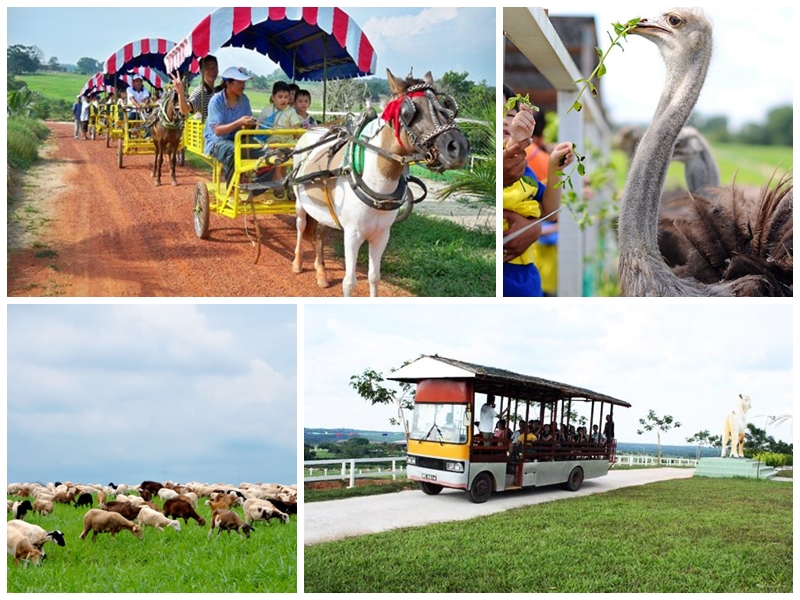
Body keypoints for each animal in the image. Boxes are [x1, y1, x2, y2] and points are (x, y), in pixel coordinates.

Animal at [290, 69, 468, 296]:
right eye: (410, 110)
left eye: (446, 105)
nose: (459, 147)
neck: (375, 183)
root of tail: (313, 130)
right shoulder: (352, 235)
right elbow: (349, 282)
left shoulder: (381, 236)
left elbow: (374, 277)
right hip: (300, 202)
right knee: (301, 226)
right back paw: (297, 262)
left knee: (320, 232)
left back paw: (321, 271)